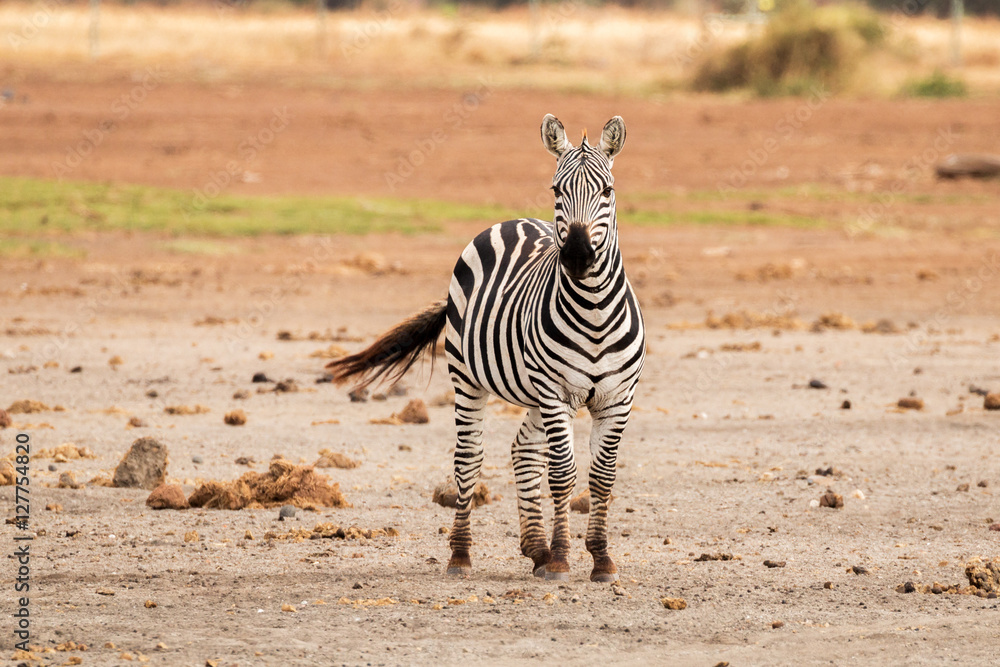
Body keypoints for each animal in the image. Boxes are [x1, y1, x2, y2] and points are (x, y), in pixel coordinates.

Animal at [327, 114, 645, 582]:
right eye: (556, 190)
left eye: (607, 191)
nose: (577, 257)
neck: (594, 313)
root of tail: (513, 221)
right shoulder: (556, 393)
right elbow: (563, 474)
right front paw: (562, 559)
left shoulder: (617, 398)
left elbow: (603, 477)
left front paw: (600, 559)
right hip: (471, 380)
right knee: (469, 459)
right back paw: (462, 556)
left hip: (534, 393)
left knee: (522, 449)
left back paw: (536, 548)